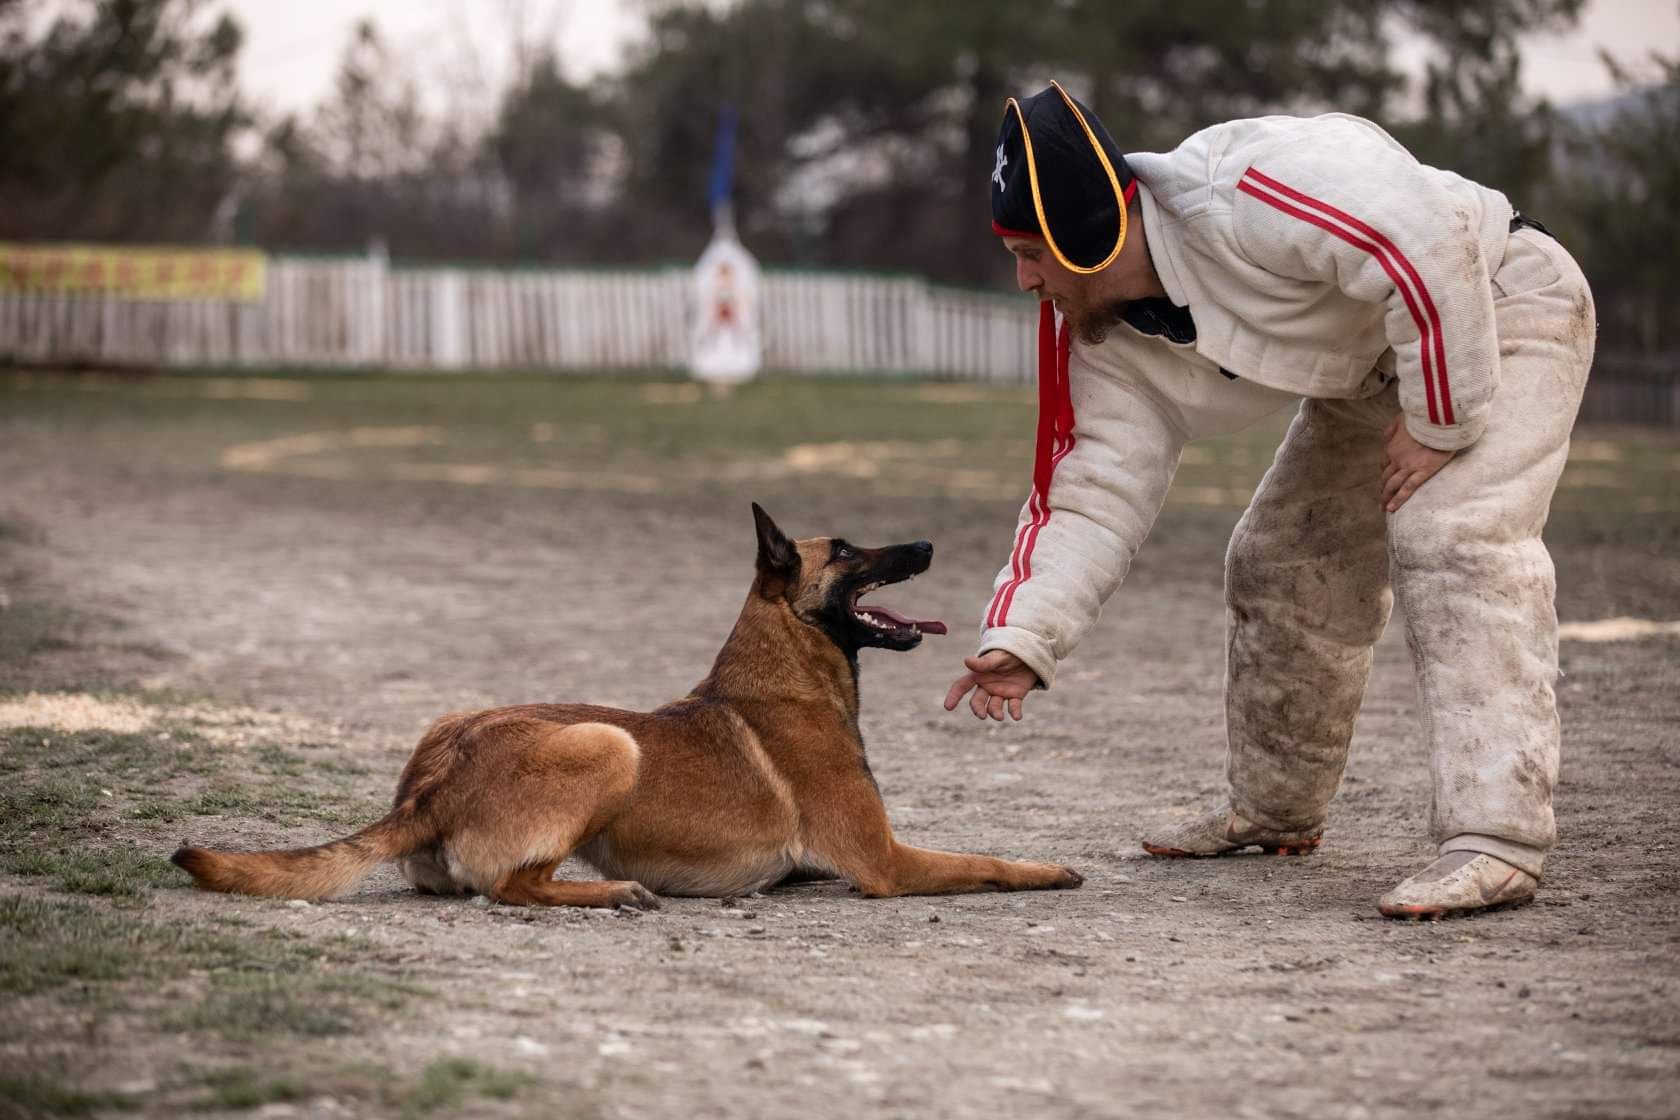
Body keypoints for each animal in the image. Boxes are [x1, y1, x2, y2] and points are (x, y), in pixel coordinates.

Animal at [170, 503, 1081, 906]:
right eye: (849, 551)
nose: (925, 544)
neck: (784, 671)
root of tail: (427, 789)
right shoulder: (885, 864)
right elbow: (984, 859)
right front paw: (1047, 868)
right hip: (609, 744)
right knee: (516, 888)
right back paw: (612, 893)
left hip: (461, 722)